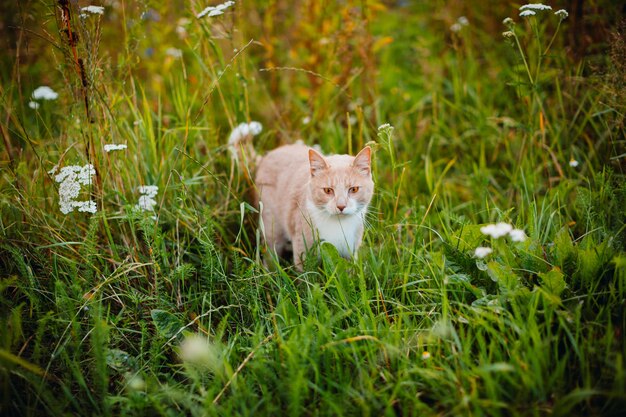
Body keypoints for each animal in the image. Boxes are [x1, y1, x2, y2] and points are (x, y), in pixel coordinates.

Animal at [232, 135, 372, 268]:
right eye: (328, 190)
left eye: (353, 189)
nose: (341, 206)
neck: (338, 225)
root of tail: (269, 154)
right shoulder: (303, 250)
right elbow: (306, 275)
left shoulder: (350, 252)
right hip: (271, 223)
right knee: (271, 251)